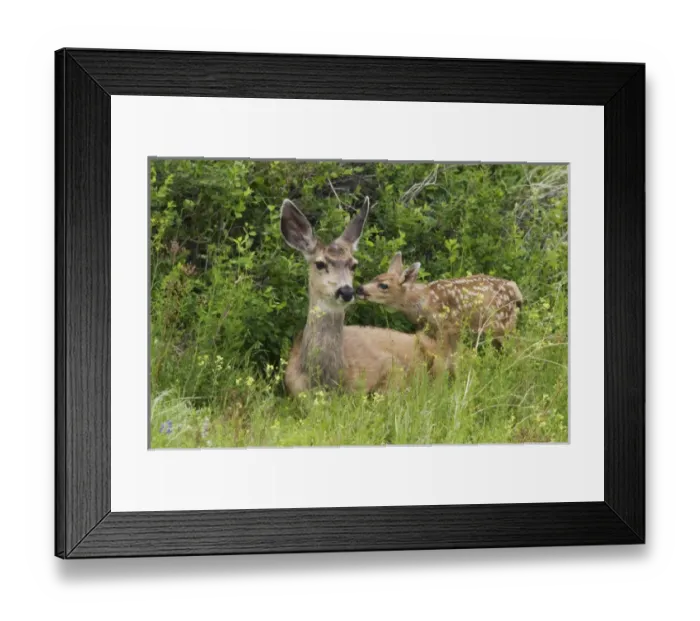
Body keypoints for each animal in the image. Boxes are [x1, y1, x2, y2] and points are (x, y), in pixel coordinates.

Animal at [356, 252, 523, 359]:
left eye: (384, 285)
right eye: (375, 277)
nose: (359, 289)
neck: (423, 301)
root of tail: (517, 291)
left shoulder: (448, 326)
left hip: (501, 323)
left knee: (516, 346)